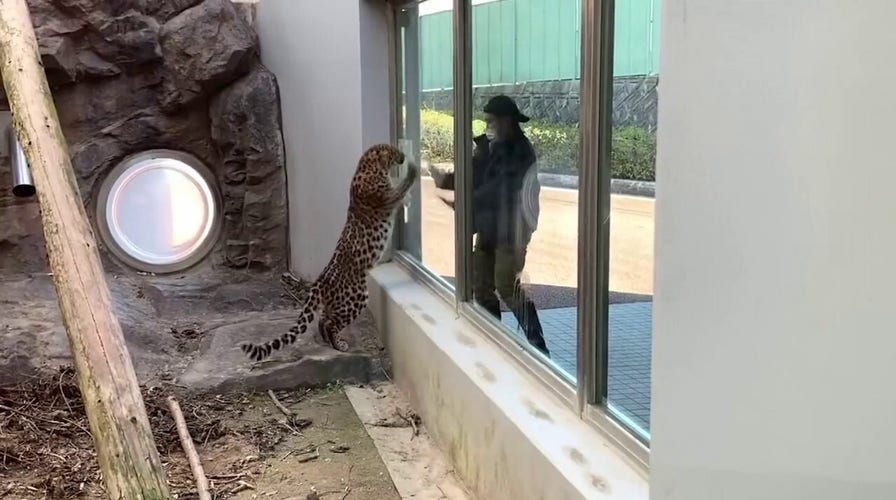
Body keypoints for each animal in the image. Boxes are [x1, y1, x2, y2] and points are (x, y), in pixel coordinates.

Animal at [241, 144, 417, 362]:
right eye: (393, 150)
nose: (402, 157)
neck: (369, 166)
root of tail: (320, 281)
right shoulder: (386, 197)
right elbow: (402, 188)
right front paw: (413, 170)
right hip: (356, 296)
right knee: (331, 323)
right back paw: (339, 344)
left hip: (337, 303)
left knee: (323, 319)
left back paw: (327, 340)